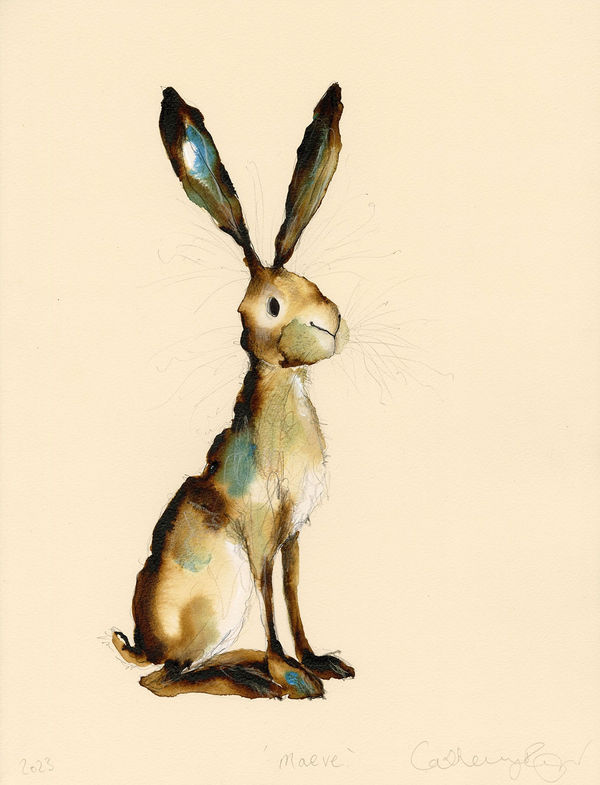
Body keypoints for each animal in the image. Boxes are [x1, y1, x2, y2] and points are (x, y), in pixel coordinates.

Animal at [113, 84, 355, 699]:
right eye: (272, 304)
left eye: (316, 286)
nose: (332, 324)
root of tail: (140, 643)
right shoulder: (262, 534)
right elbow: (271, 599)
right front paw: (290, 672)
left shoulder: (293, 536)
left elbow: (293, 595)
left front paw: (318, 660)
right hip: (214, 598)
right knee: (169, 673)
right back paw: (248, 671)